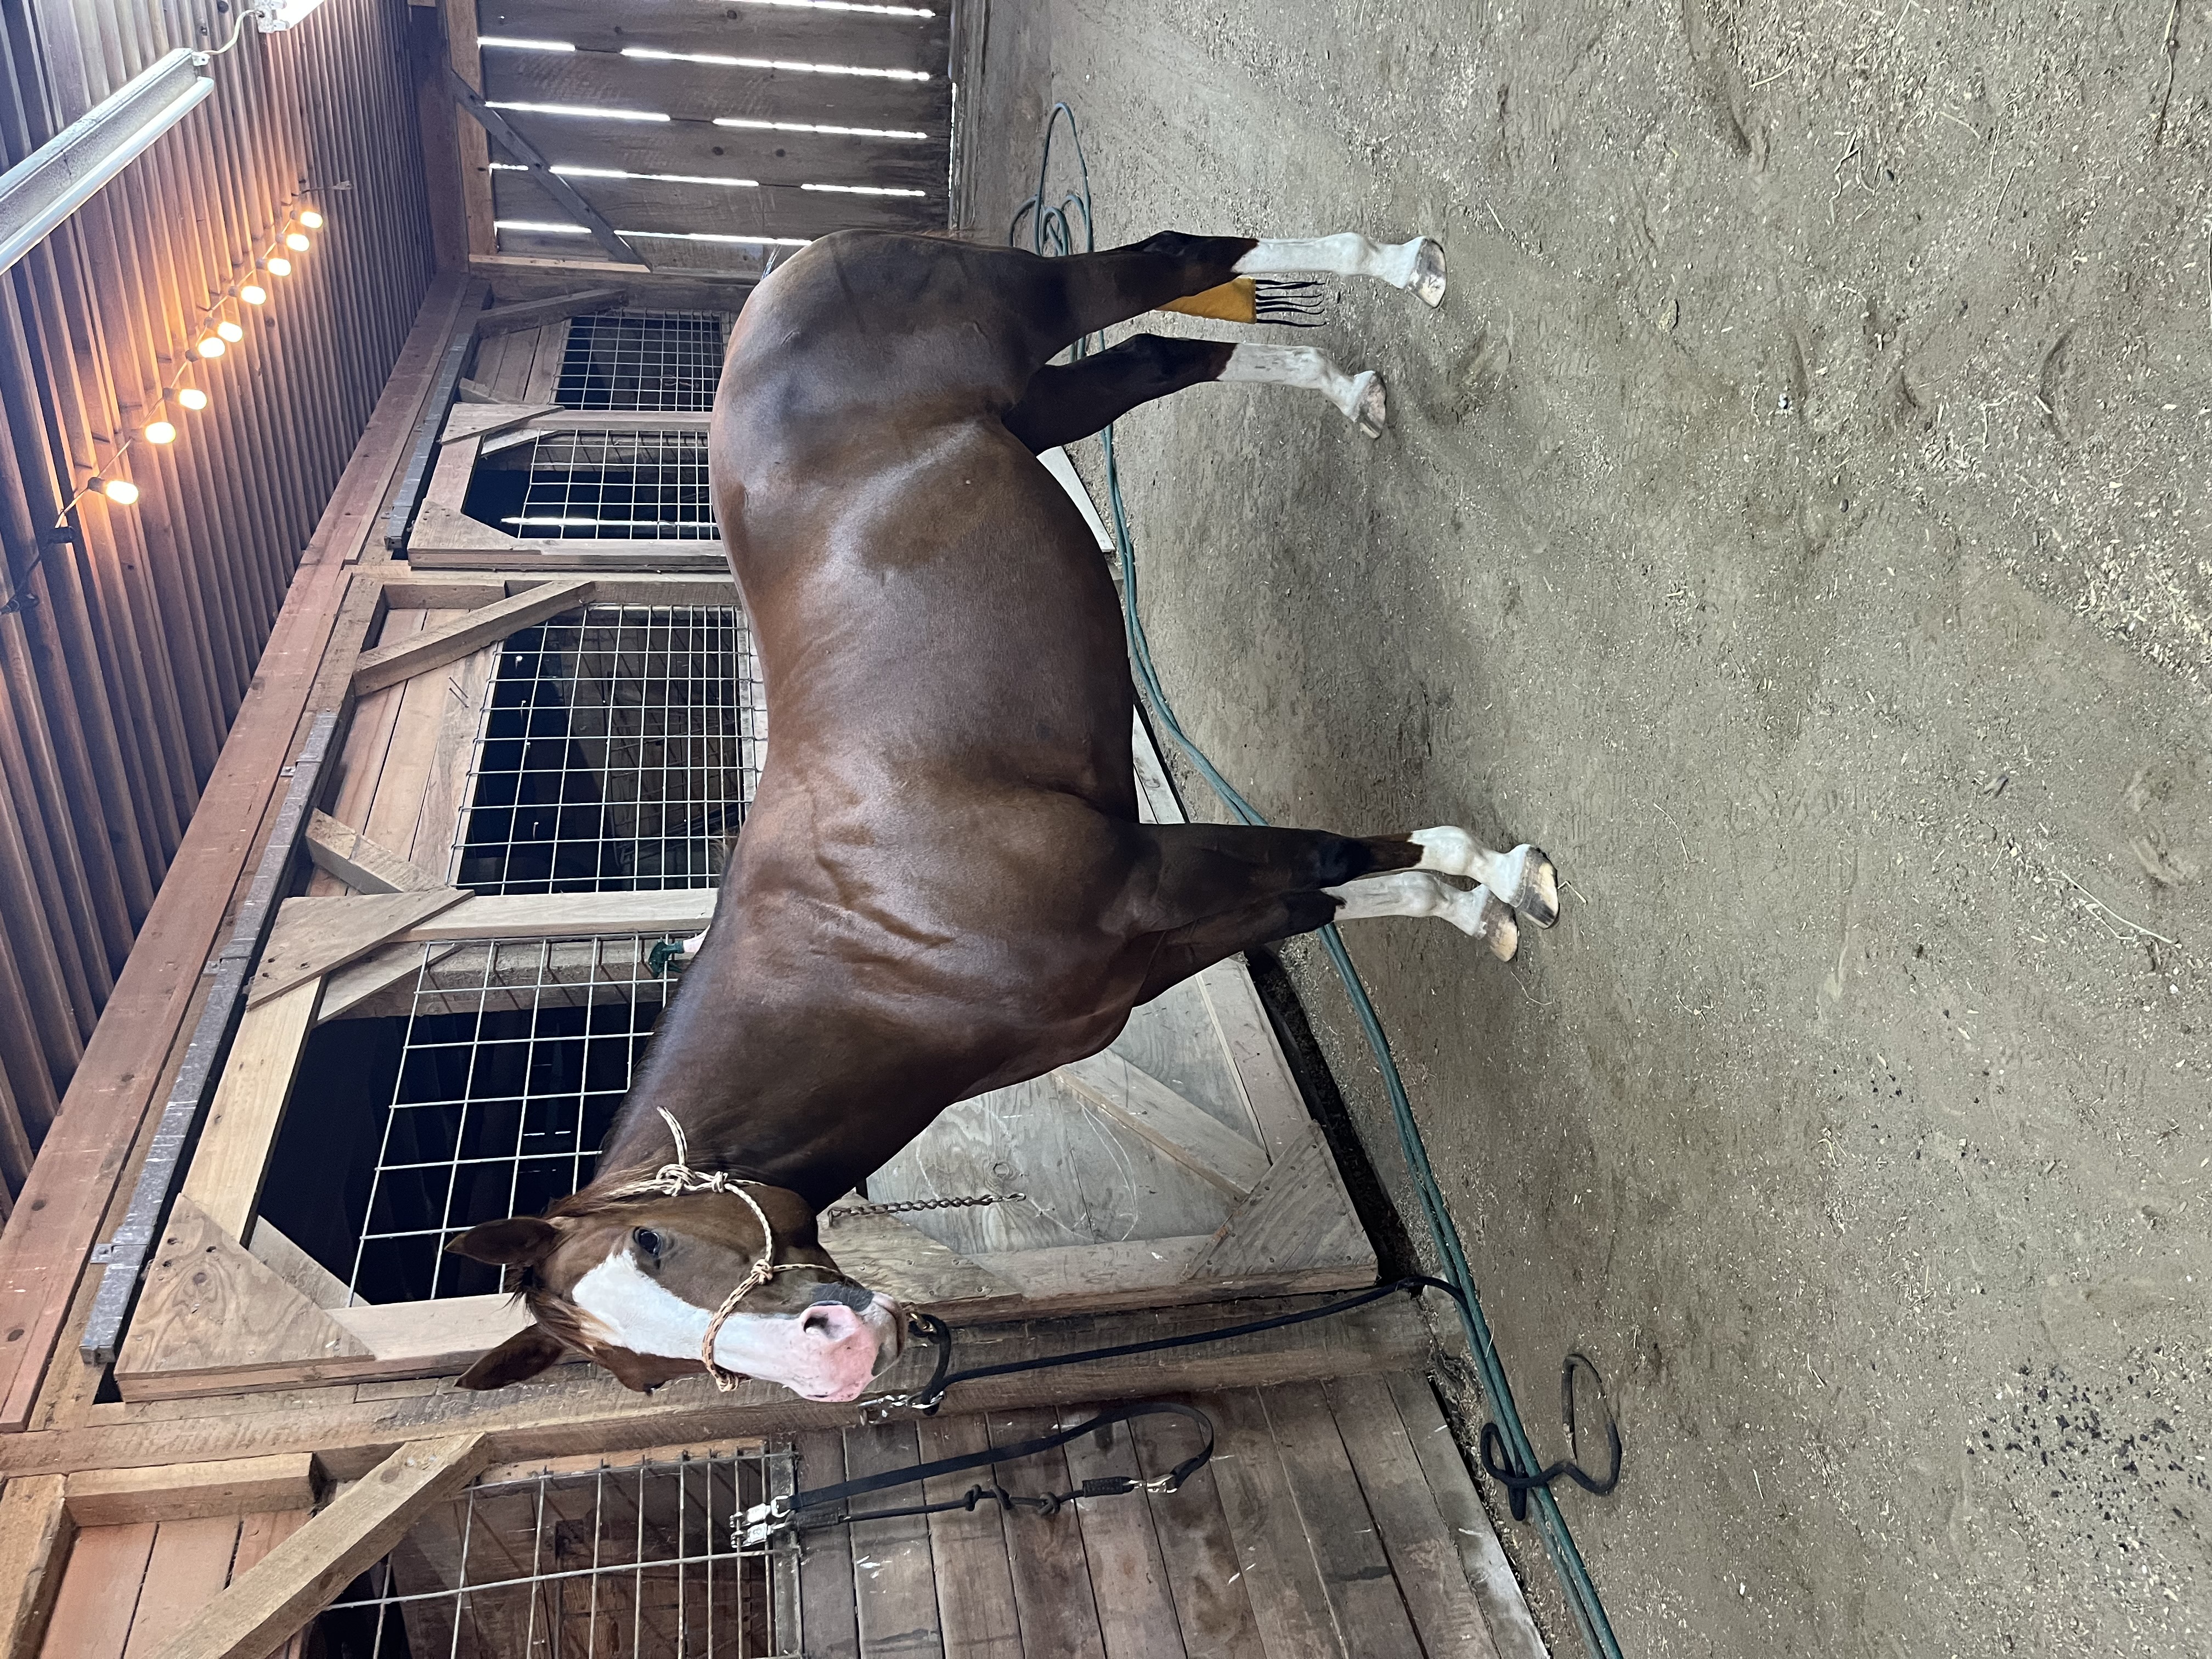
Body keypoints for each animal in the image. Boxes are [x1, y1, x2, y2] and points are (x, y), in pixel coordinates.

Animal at [446, 228, 1559, 1403]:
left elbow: (1333, 852)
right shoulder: (1155, 944)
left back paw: (1400, 269)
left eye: (653, 1239)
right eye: (650, 1375)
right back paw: (1350, 389)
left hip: (1036, 309)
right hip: (1037, 407)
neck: (868, 948)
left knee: (1170, 265)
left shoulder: (1151, 874)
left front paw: (1503, 872)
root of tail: (792, 264)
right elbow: (1323, 897)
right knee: (1161, 355)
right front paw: (1469, 905)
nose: (840, 1356)